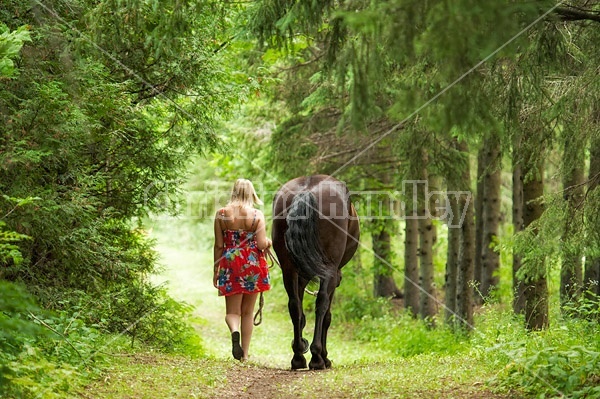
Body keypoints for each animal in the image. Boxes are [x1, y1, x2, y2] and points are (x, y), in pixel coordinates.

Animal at [274, 176, 360, 372]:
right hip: (329, 270)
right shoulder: (334, 276)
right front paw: (324, 357)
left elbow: (300, 311)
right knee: (321, 304)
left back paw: (298, 358)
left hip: (288, 268)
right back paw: (317, 358)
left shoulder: (300, 276)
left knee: (294, 305)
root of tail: (307, 191)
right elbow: (327, 315)